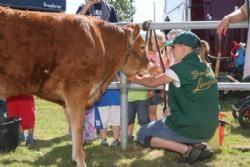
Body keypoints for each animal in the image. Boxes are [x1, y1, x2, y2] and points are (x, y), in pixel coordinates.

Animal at [0, 6, 148, 167]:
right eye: (142, 46)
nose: (149, 64)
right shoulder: (77, 91)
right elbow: (78, 127)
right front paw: (81, 160)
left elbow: (72, 124)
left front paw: (76, 157)